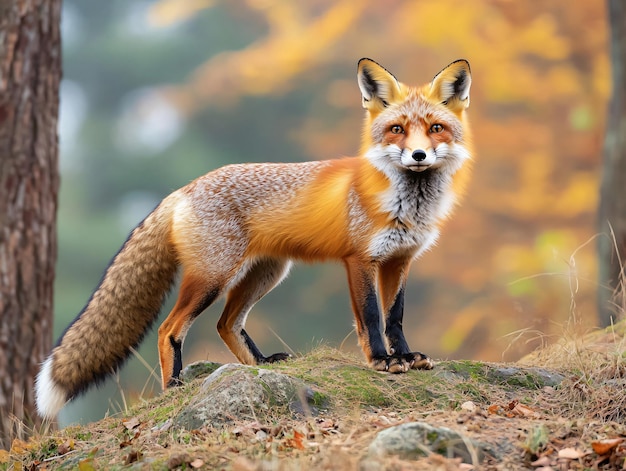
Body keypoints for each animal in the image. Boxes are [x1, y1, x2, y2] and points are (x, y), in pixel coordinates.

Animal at [36, 57, 470, 418]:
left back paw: (260, 366)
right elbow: (371, 318)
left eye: (436, 129)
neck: (406, 205)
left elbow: (395, 316)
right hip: (213, 278)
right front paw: (383, 361)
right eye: (397, 130)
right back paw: (174, 386)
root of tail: (182, 190)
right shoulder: (360, 260)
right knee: (169, 329)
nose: (418, 156)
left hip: (265, 275)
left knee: (226, 324)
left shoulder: (400, 260)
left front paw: (407, 356)